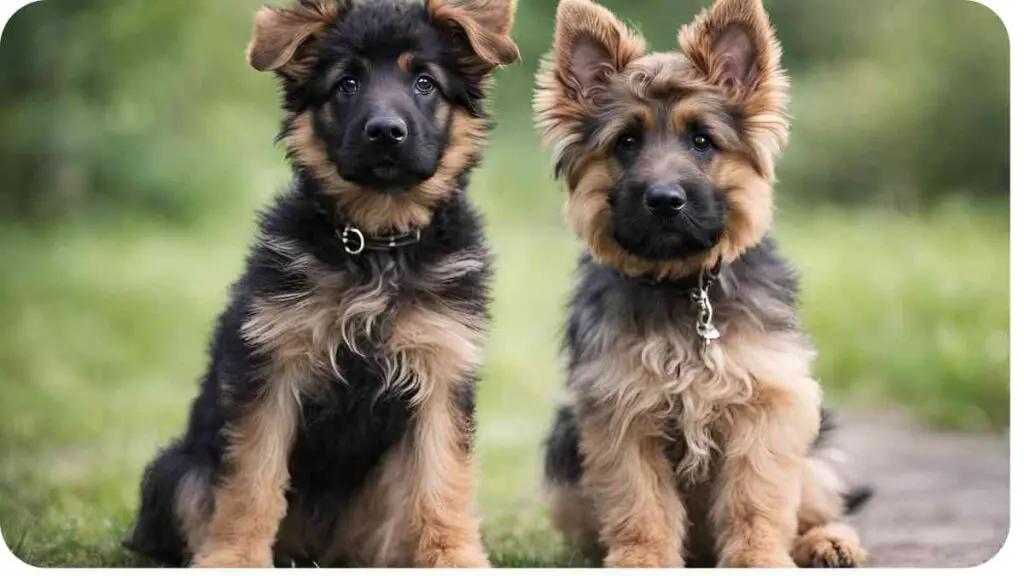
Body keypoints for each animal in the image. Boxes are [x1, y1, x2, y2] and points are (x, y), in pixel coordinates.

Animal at [122, 0, 516, 565]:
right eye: (347, 83)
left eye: (424, 82)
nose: (385, 132)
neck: (373, 245)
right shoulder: (271, 371)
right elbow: (252, 479)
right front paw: (235, 558)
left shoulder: (441, 373)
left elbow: (444, 481)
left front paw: (456, 557)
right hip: (177, 468)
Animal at [536, 0, 872, 565]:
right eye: (627, 142)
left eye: (702, 141)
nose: (665, 200)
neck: (683, 284)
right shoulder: (622, 413)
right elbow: (639, 502)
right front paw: (642, 560)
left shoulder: (767, 404)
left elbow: (755, 498)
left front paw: (759, 558)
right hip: (564, 449)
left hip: (817, 443)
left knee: (817, 501)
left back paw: (828, 541)